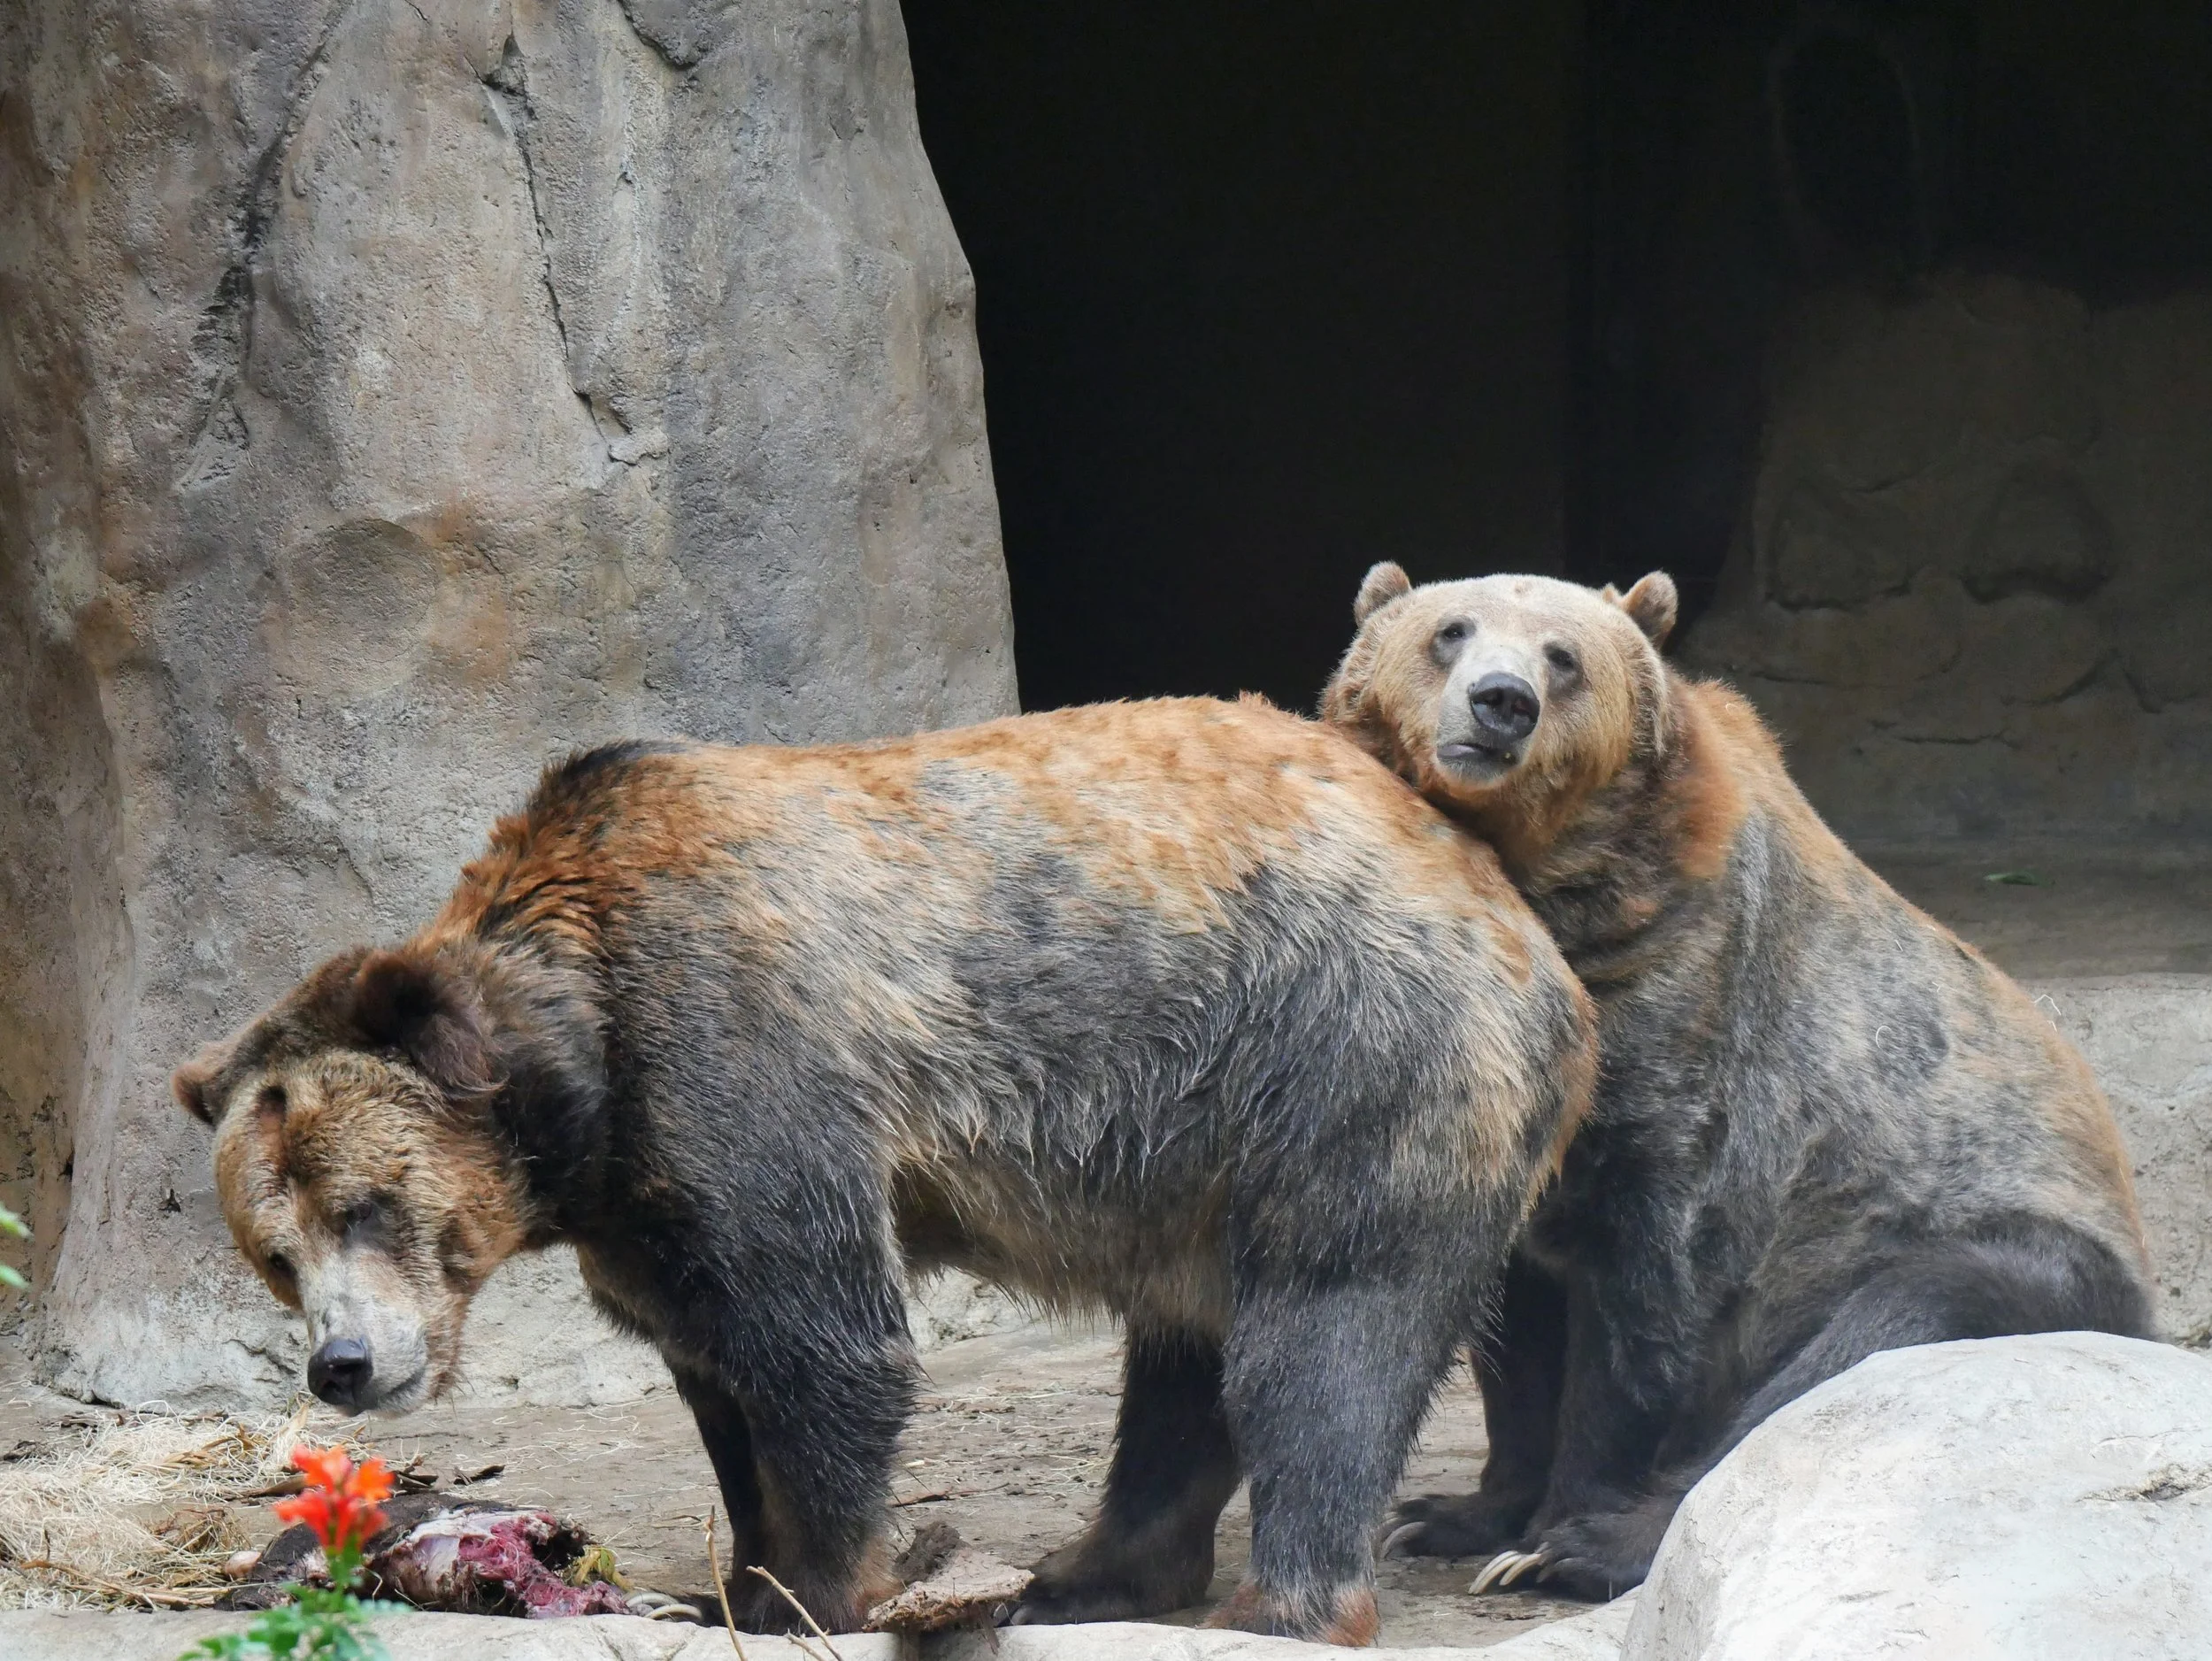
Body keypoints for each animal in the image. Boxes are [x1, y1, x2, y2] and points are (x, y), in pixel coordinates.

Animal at [172, 696, 1596, 1644]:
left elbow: (823, 1343)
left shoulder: (739, 1057)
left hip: (1349, 1049)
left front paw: (814, 1591)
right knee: (1185, 1350)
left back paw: (1285, 1601)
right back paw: (1091, 1573)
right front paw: (736, 1576)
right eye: (275, 1252)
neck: (583, 1081)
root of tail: (1504, 908)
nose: (344, 1363)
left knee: (1323, 1328)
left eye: (369, 1203)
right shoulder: (645, 1204)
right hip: (1200, 1149)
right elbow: (720, 1370)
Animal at [1321, 565, 2153, 1600]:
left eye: (1564, 655)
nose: (1501, 701)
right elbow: (1513, 1318)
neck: (1555, 898)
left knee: (1879, 1329)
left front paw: (1554, 1533)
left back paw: (1616, 1539)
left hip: (2018, 1247)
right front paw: (1449, 1514)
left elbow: (1642, 1300)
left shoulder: (1686, 1041)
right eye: (1450, 629)